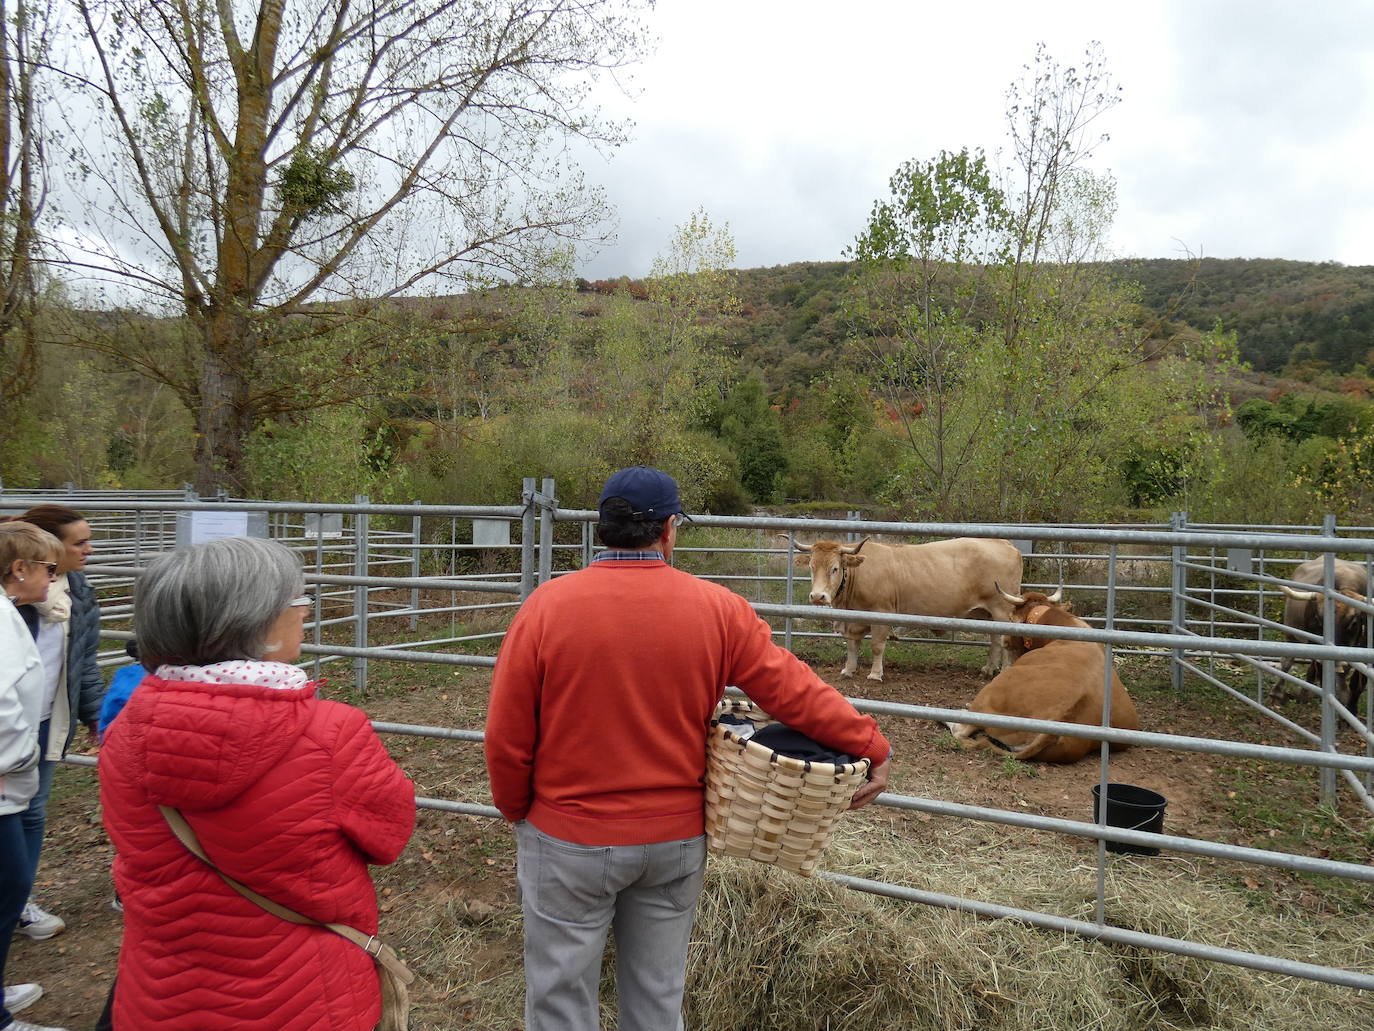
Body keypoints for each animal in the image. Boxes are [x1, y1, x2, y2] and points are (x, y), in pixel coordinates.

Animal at [791, 536, 1027, 681]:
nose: (817, 596)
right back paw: (989, 669)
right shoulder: (853, 621)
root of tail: (1005, 543)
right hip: (990, 613)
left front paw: (875, 674)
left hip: (1002, 609)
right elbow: (852, 646)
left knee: (1004, 640)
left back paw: (1004, 671)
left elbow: (877, 646)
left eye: (835, 568)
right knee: (995, 639)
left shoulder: (881, 614)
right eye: (811, 567)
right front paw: (848, 670)